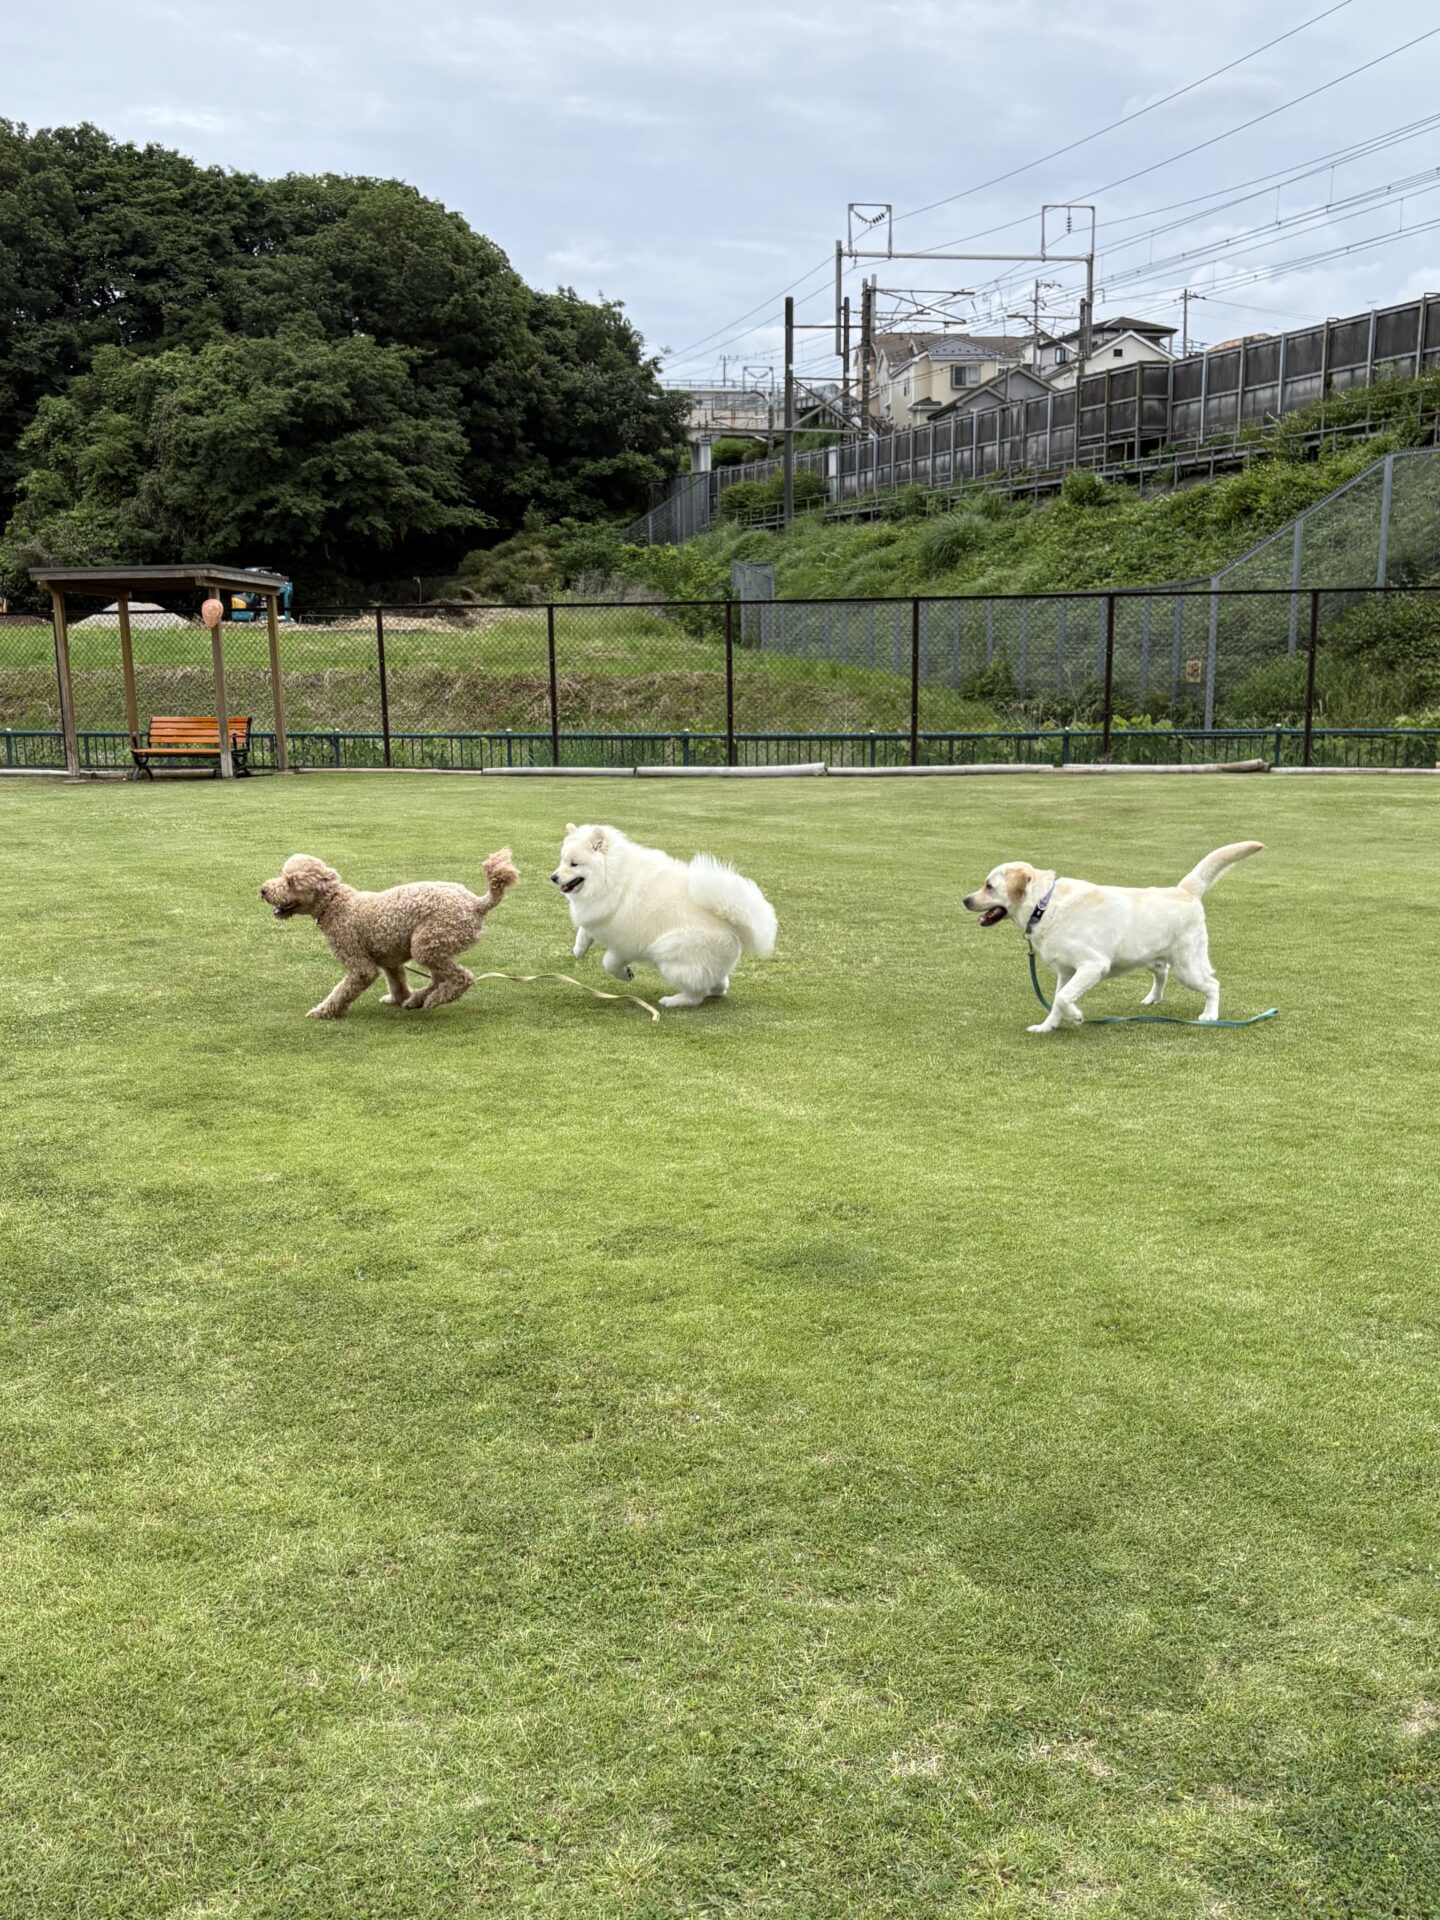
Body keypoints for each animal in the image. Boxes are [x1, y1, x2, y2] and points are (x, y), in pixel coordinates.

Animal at [261, 851, 519, 1019]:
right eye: (283, 875)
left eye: (291, 881)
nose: (263, 890)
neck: (335, 904)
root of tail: (477, 903)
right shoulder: (389, 959)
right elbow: (397, 982)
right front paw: (399, 998)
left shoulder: (360, 965)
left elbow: (343, 990)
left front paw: (323, 1011)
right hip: (435, 945)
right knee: (439, 977)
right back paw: (416, 999)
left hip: (427, 943)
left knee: (462, 977)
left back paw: (434, 999)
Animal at [550, 825, 776, 1010]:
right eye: (562, 860)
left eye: (574, 864)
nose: (553, 877)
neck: (611, 877)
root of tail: (735, 926)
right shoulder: (597, 914)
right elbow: (584, 930)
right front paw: (579, 949)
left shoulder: (626, 941)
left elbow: (609, 962)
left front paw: (626, 974)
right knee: (718, 982)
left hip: (669, 953)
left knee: (696, 994)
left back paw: (673, 1000)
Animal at [963, 842, 1263, 1033]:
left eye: (989, 886)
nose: (965, 899)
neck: (1043, 905)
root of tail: (1184, 890)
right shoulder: (1066, 971)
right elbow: (1057, 1000)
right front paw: (1047, 1026)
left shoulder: (1092, 965)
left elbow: (1063, 998)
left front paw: (1076, 1017)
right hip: (1152, 956)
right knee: (1161, 971)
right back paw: (1153, 998)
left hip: (1187, 966)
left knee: (1212, 984)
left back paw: (1210, 1014)